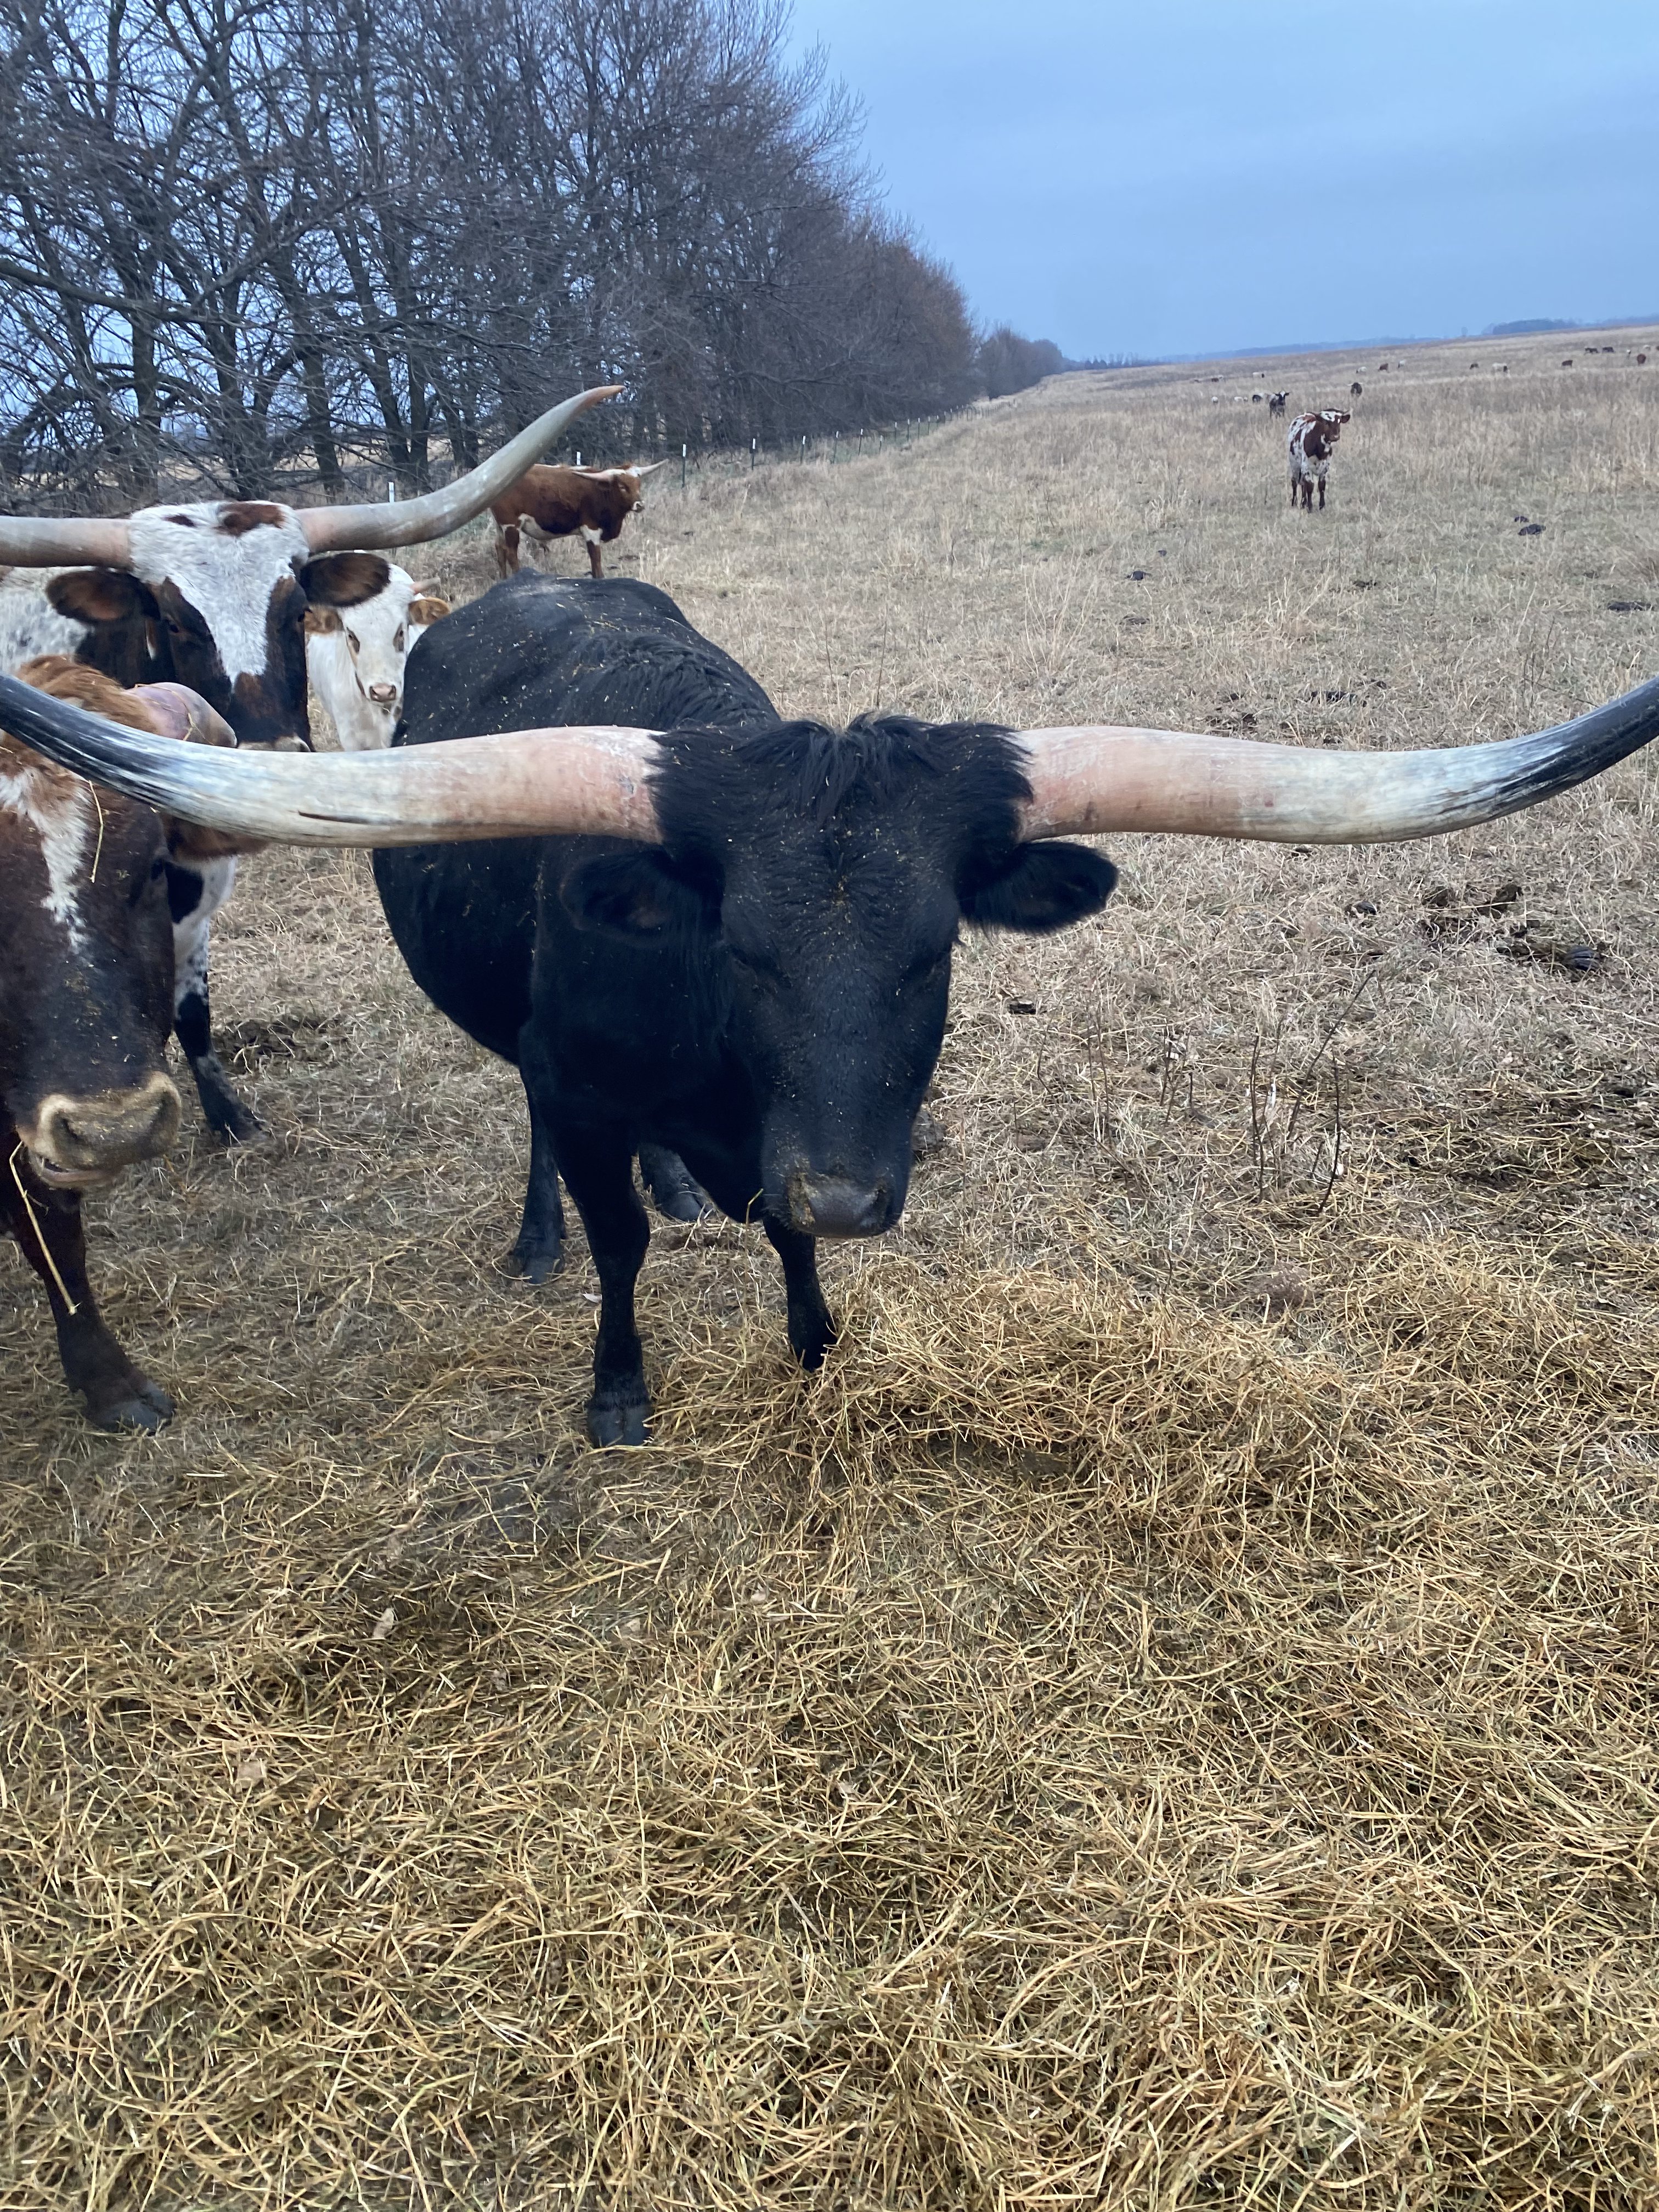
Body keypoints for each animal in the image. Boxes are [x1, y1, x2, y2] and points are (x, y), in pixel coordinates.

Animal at [489, 461, 669, 580]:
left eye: (639, 484)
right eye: (622, 487)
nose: (640, 505)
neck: (601, 492)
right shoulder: (591, 530)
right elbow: (596, 560)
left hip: (501, 526)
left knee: (500, 549)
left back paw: (503, 580)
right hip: (511, 525)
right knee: (511, 553)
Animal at [1288, 410, 1351, 511]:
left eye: (1339, 421)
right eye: (1326, 422)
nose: (1335, 437)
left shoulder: (1325, 468)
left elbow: (1321, 486)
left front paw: (1322, 506)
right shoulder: (1306, 466)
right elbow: (1310, 486)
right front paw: (1310, 507)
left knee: (1303, 483)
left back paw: (1303, 503)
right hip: (1294, 464)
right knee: (1295, 482)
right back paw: (1295, 503)